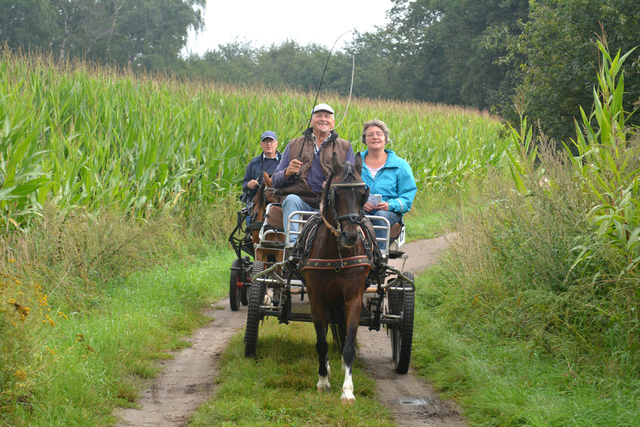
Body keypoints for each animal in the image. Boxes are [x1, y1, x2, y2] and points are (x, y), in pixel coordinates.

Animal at [298, 152, 378, 406]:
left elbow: (349, 345)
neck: (336, 254)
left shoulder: (353, 298)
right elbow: (321, 342)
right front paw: (323, 382)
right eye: (336, 193)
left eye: (363, 193)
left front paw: (348, 390)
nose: (351, 235)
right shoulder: (316, 299)